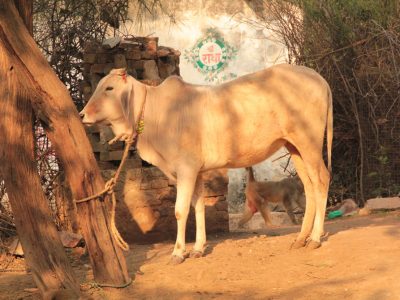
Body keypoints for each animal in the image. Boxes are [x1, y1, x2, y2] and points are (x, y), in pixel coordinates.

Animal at [79, 64, 332, 264]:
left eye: (109, 88)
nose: (82, 115)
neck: (156, 114)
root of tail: (319, 78)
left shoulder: (186, 169)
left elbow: (180, 210)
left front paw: (178, 253)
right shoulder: (196, 172)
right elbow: (198, 206)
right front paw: (198, 249)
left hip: (308, 142)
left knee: (322, 179)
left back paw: (315, 238)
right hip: (294, 146)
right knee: (308, 185)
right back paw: (301, 238)